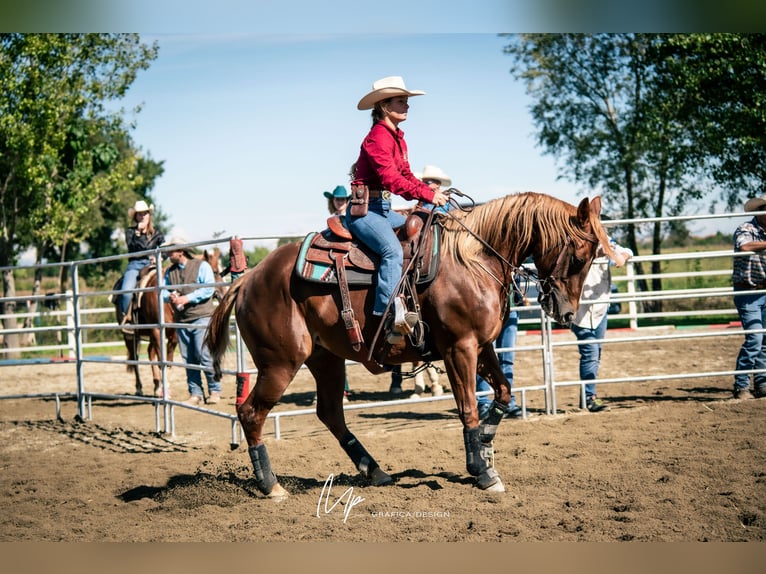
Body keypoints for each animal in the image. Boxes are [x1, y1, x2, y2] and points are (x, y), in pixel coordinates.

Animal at [115, 247, 227, 397]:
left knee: (150, 353)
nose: (224, 293)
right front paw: (165, 389)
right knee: (135, 358)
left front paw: (164, 388)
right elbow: (160, 359)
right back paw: (139, 388)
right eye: (214, 272)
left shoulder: (173, 334)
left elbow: (167, 360)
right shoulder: (157, 330)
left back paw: (157, 386)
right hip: (130, 336)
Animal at [205, 192, 613, 498]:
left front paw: (485, 448)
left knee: (330, 413)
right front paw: (481, 470)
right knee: (251, 412)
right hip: (280, 363)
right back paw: (271, 486)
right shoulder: (459, 348)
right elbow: (468, 408)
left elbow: (503, 393)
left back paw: (374, 471)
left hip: (326, 359)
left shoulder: (484, 347)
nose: (566, 313)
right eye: (579, 257)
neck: (472, 259)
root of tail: (249, 278)